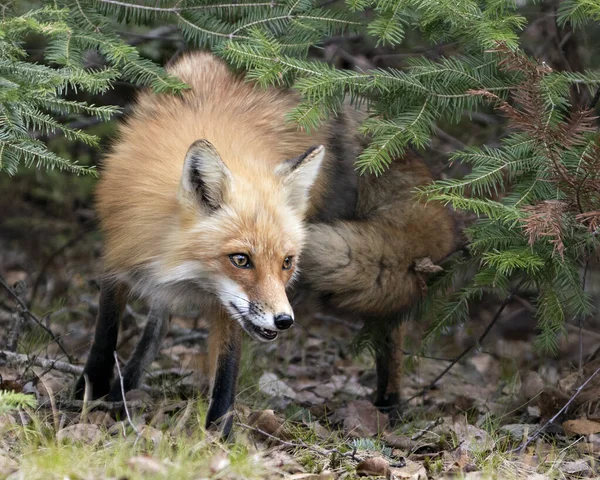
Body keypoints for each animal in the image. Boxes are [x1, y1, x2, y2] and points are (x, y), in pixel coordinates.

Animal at [75, 51, 458, 436]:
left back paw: (389, 404)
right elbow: (106, 332)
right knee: (158, 323)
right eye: (241, 259)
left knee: (391, 323)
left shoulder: (230, 308)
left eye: (287, 262)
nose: (285, 320)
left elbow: (227, 369)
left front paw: (217, 435)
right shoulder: (120, 254)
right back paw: (127, 386)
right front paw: (90, 392)